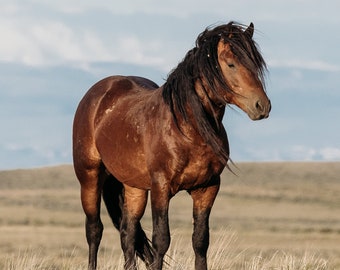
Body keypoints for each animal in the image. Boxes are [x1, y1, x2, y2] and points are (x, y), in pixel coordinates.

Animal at [72, 21, 270, 270]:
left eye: (255, 64)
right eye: (231, 64)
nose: (262, 106)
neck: (188, 130)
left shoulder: (207, 188)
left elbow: (200, 241)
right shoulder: (161, 187)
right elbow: (161, 240)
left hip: (134, 187)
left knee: (128, 233)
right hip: (89, 177)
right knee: (94, 230)